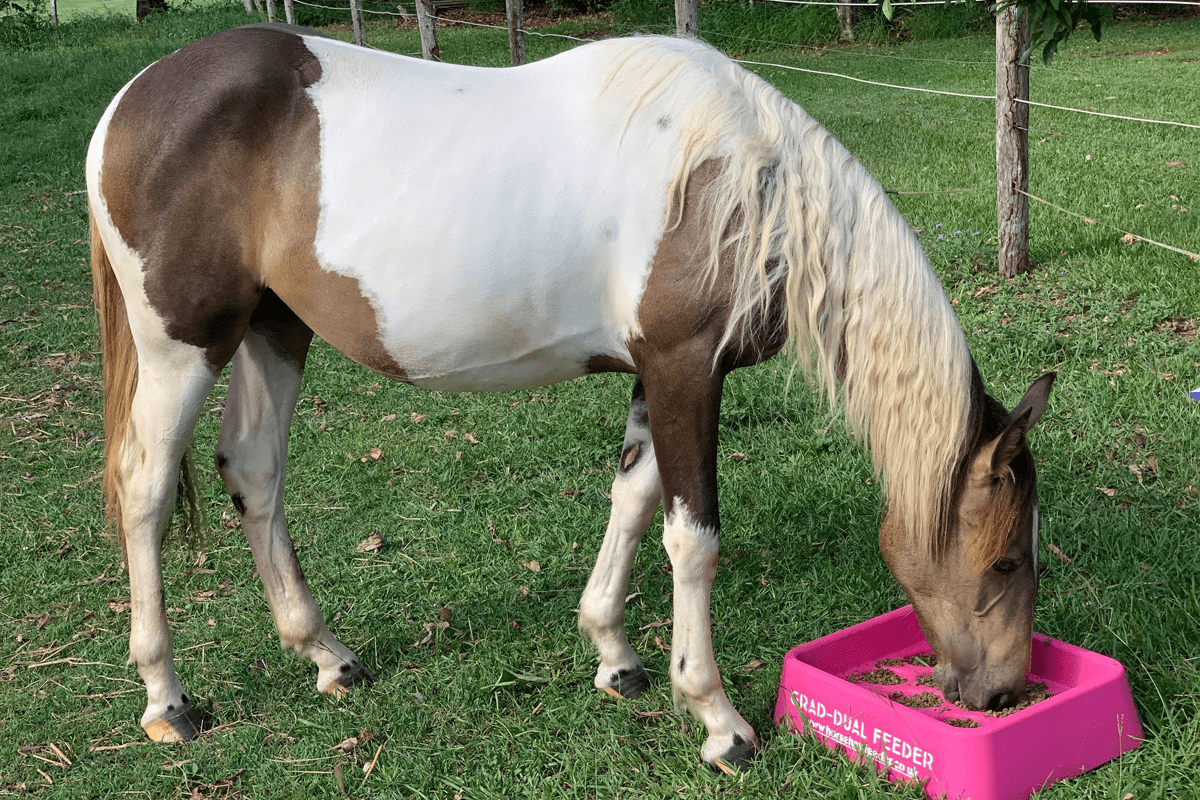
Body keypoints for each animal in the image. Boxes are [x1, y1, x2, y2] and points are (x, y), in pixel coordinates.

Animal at [86, 24, 1054, 773]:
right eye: (1007, 560)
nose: (1005, 694)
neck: (746, 183)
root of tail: (128, 101)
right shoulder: (686, 369)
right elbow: (691, 538)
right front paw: (718, 720)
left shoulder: (653, 376)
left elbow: (631, 499)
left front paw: (614, 657)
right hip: (183, 347)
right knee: (146, 490)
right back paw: (166, 698)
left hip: (274, 329)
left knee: (254, 472)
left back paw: (326, 656)